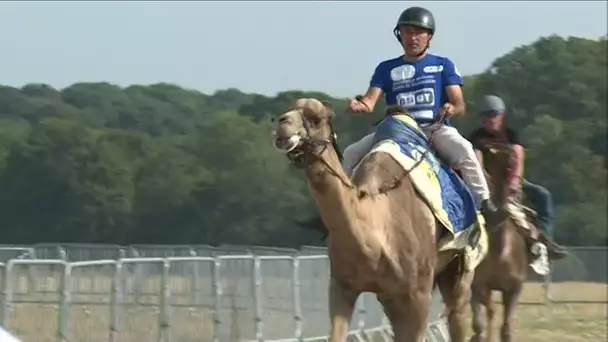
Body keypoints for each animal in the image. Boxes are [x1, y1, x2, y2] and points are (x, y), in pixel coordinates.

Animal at [270, 97, 490, 340]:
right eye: (291, 108)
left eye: (316, 118)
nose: (283, 123)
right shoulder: (343, 286)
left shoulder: (418, 294)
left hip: (461, 267)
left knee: (458, 313)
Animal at [470, 144, 548, 342]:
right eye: (491, 157)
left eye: (515, 156)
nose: (511, 156)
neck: (501, 254)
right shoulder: (479, 284)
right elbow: (480, 324)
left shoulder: (514, 287)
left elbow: (506, 330)